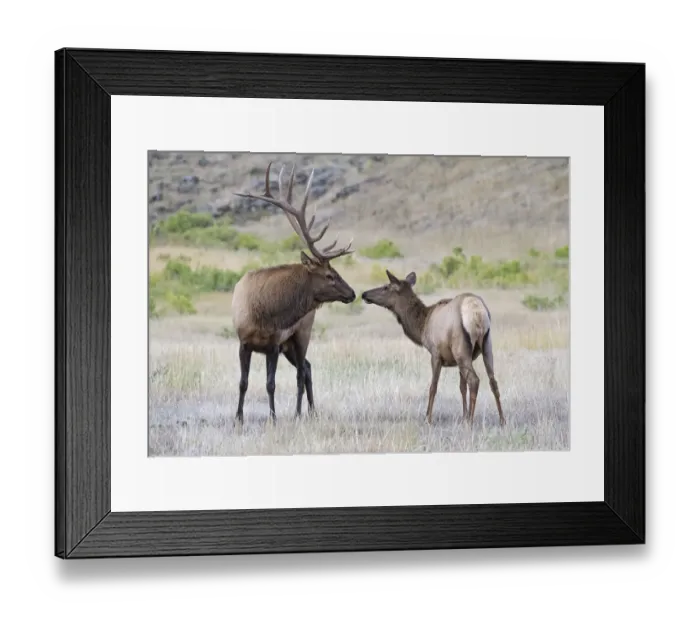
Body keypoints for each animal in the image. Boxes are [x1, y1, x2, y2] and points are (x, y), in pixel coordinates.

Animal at [230, 162, 356, 425]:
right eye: (329, 275)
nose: (352, 293)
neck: (263, 313)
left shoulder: (274, 344)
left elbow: (270, 384)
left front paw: (273, 418)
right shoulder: (244, 342)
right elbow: (243, 383)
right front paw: (238, 418)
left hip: (301, 335)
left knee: (302, 371)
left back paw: (301, 412)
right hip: (290, 345)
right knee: (306, 367)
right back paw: (309, 411)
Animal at [361, 270, 505, 427]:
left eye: (386, 287)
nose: (364, 294)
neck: (422, 327)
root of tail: (477, 312)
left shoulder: (435, 354)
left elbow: (433, 387)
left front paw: (428, 418)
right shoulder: (459, 360)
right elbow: (461, 387)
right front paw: (463, 417)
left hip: (461, 349)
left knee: (474, 380)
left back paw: (471, 423)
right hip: (486, 345)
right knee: (493, 381)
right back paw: (502, 420)